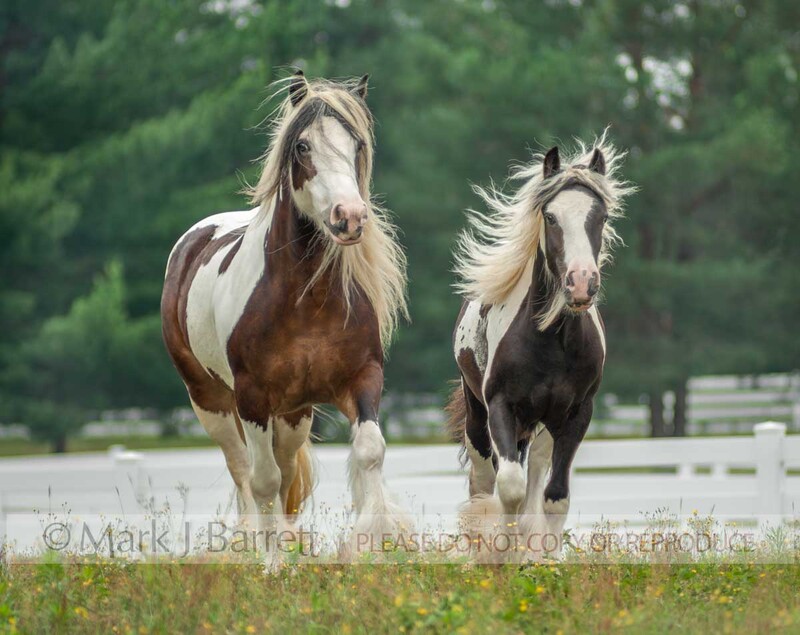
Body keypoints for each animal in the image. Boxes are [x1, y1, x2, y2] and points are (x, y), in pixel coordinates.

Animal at [160, 71, 409, 564]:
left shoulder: (361, 379)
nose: (350, 217)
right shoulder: (253, 397)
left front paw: (366, 547)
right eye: (303, 146)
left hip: (295, 413)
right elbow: (263, 480)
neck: (304, 302)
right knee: (243, 469)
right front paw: (274, 565)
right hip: (211, 401)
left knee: (287, 466)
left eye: (357, 145)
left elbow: (368, 451)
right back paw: (249, 542)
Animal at [445, 135, 634, 561]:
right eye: (550, 217)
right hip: (479, 420)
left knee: (535, 475)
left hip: (543, 425)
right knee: (484, 483)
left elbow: (554, 496)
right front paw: (501, 554)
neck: (552, 342)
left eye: (602, 217)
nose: (581, 284)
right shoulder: (501, 406)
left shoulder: (577, 414)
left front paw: (541, 558)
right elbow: (509, 487)